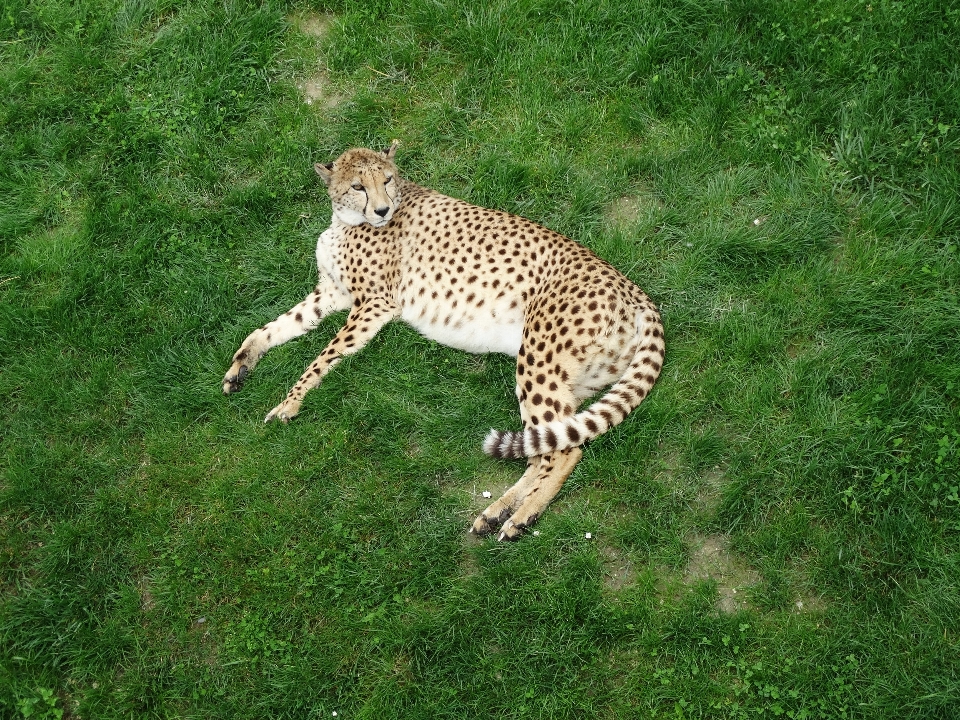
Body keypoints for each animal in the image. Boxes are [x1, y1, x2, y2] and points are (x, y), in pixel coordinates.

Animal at [222, 143, 664, 540]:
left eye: (386, 180)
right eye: (358, 186)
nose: (382, 210)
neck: (346, 220)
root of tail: (636, 292)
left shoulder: (374, 304)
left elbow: (320, 357)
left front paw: (288, 403)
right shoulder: (332, 294)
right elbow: (271, 328)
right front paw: (240, 365)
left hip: (538, 357)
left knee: (565, 449)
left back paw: (522, 517)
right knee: (545, 444)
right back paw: (498, 512)